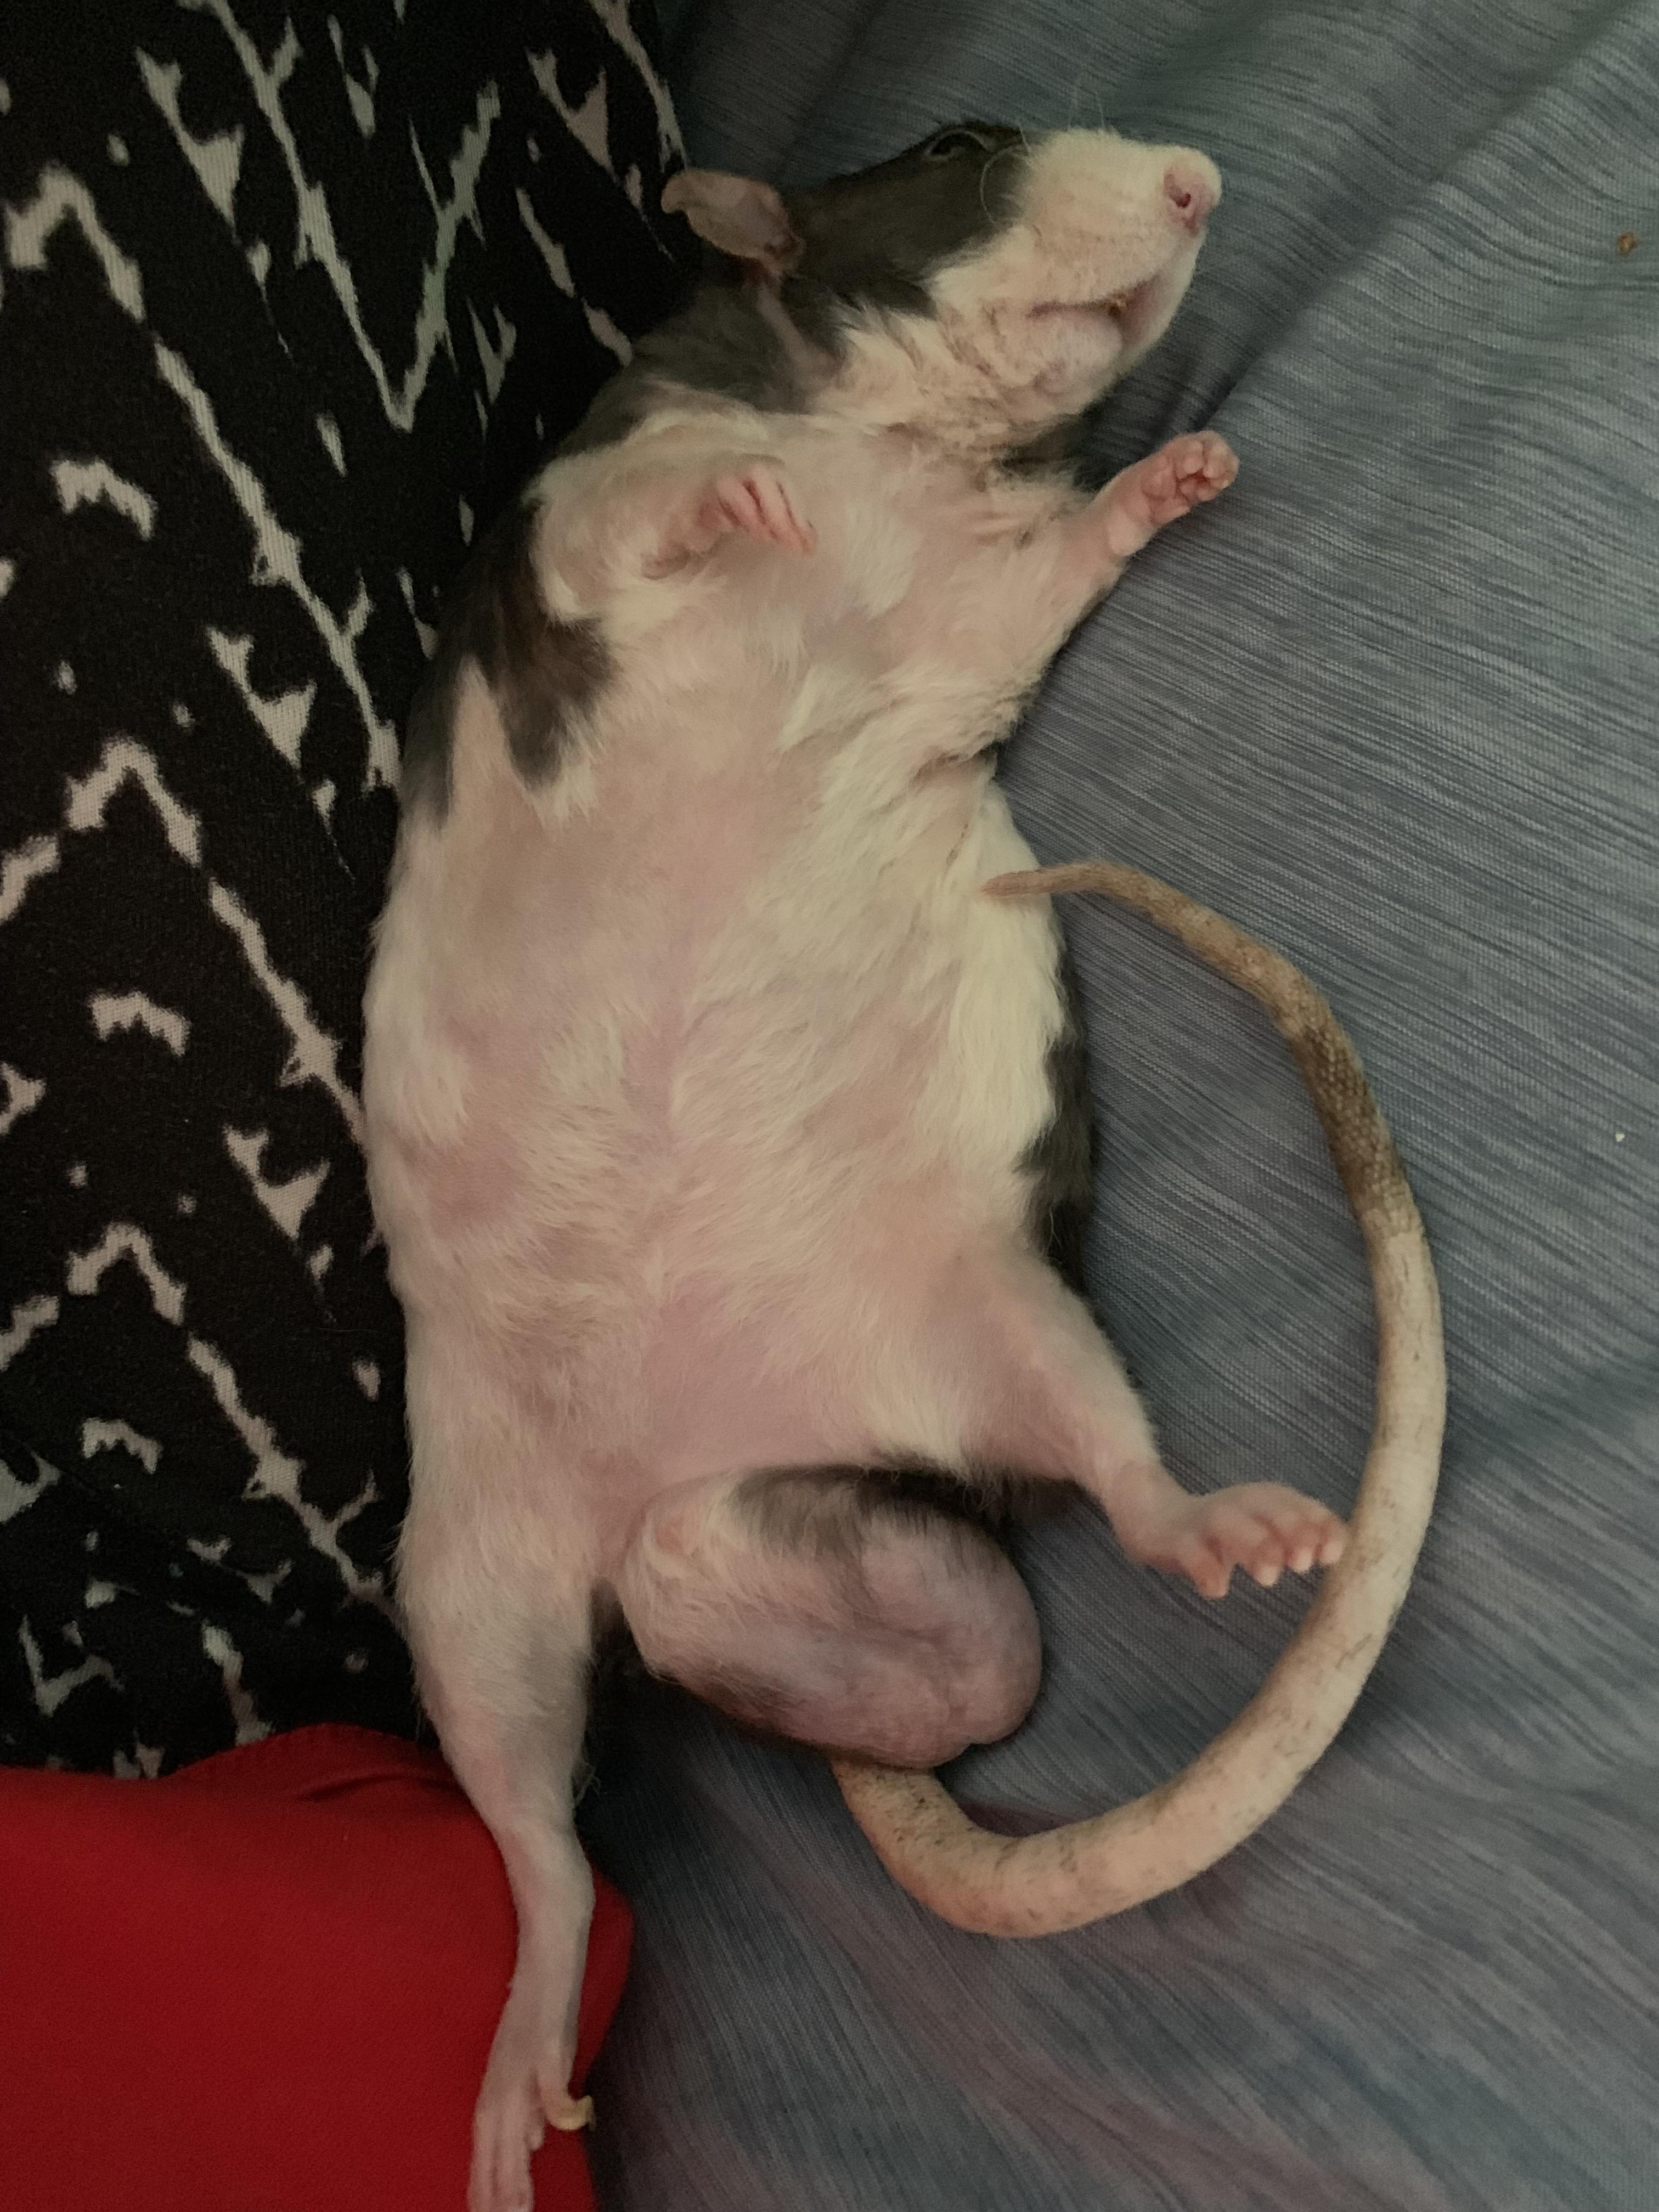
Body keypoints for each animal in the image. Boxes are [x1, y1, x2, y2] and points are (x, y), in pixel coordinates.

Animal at [363, 123, 1444, 2212]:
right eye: (957, 153)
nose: (1193, 179)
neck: (891, 443)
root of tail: (690, 1473)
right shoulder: (580, 506)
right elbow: (630, 527)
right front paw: (737, 501)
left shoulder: (957, 620)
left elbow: (1017, 603)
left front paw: (1153, 485)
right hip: (466, 1566)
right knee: (535, 1821)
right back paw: (526, 2023)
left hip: (977, 1322)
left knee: (1055, 1535)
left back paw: (1203, 1523)